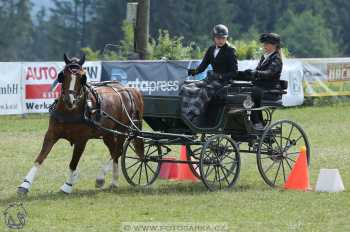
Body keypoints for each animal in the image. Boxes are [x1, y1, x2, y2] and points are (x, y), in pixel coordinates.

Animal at [17, 54, 144, 194]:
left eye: (83, 77)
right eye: (63, 75)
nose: (70, 100)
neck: (69, 112)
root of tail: (128, 89)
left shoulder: (81, 140)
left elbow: (73, 163)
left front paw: (67, 185)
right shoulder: (51, 135)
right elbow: (40, 158)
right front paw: (25, 184)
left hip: (121, 130)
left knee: (118, 151)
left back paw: (109, 180)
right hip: (108, 134)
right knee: (115, 151)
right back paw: (109, 180)